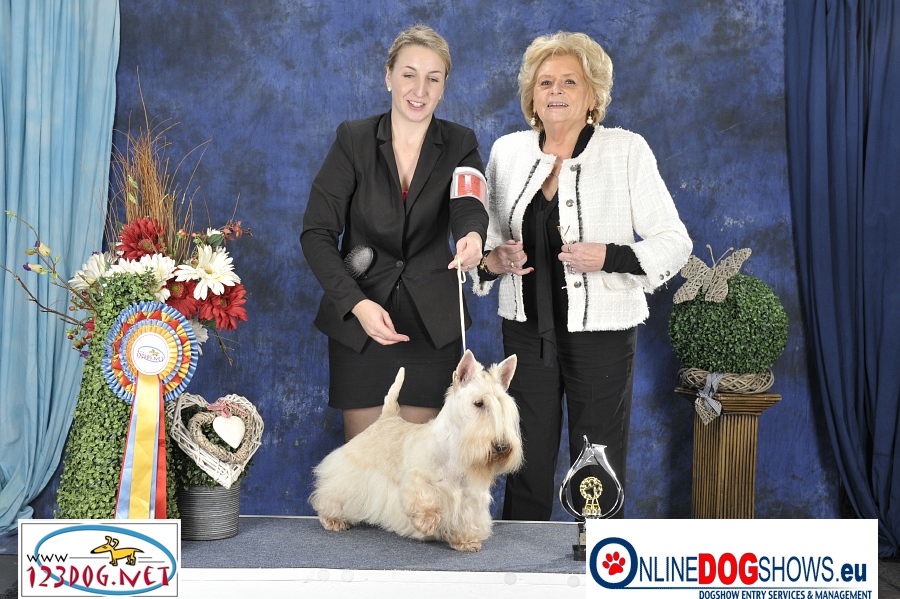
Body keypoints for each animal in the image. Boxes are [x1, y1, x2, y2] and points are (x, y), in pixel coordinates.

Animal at [309, 350, 522, 552]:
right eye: (479, 403)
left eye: (504, 407)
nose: (502, 446)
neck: (453, 448)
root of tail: (387, 417)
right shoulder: (416, 479)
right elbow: (425, 499)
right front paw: (427, 522)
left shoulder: (470, 494)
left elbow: (467, 517)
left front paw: (466, 541)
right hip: (350, 474)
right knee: (334, 493)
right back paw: (333, 519)